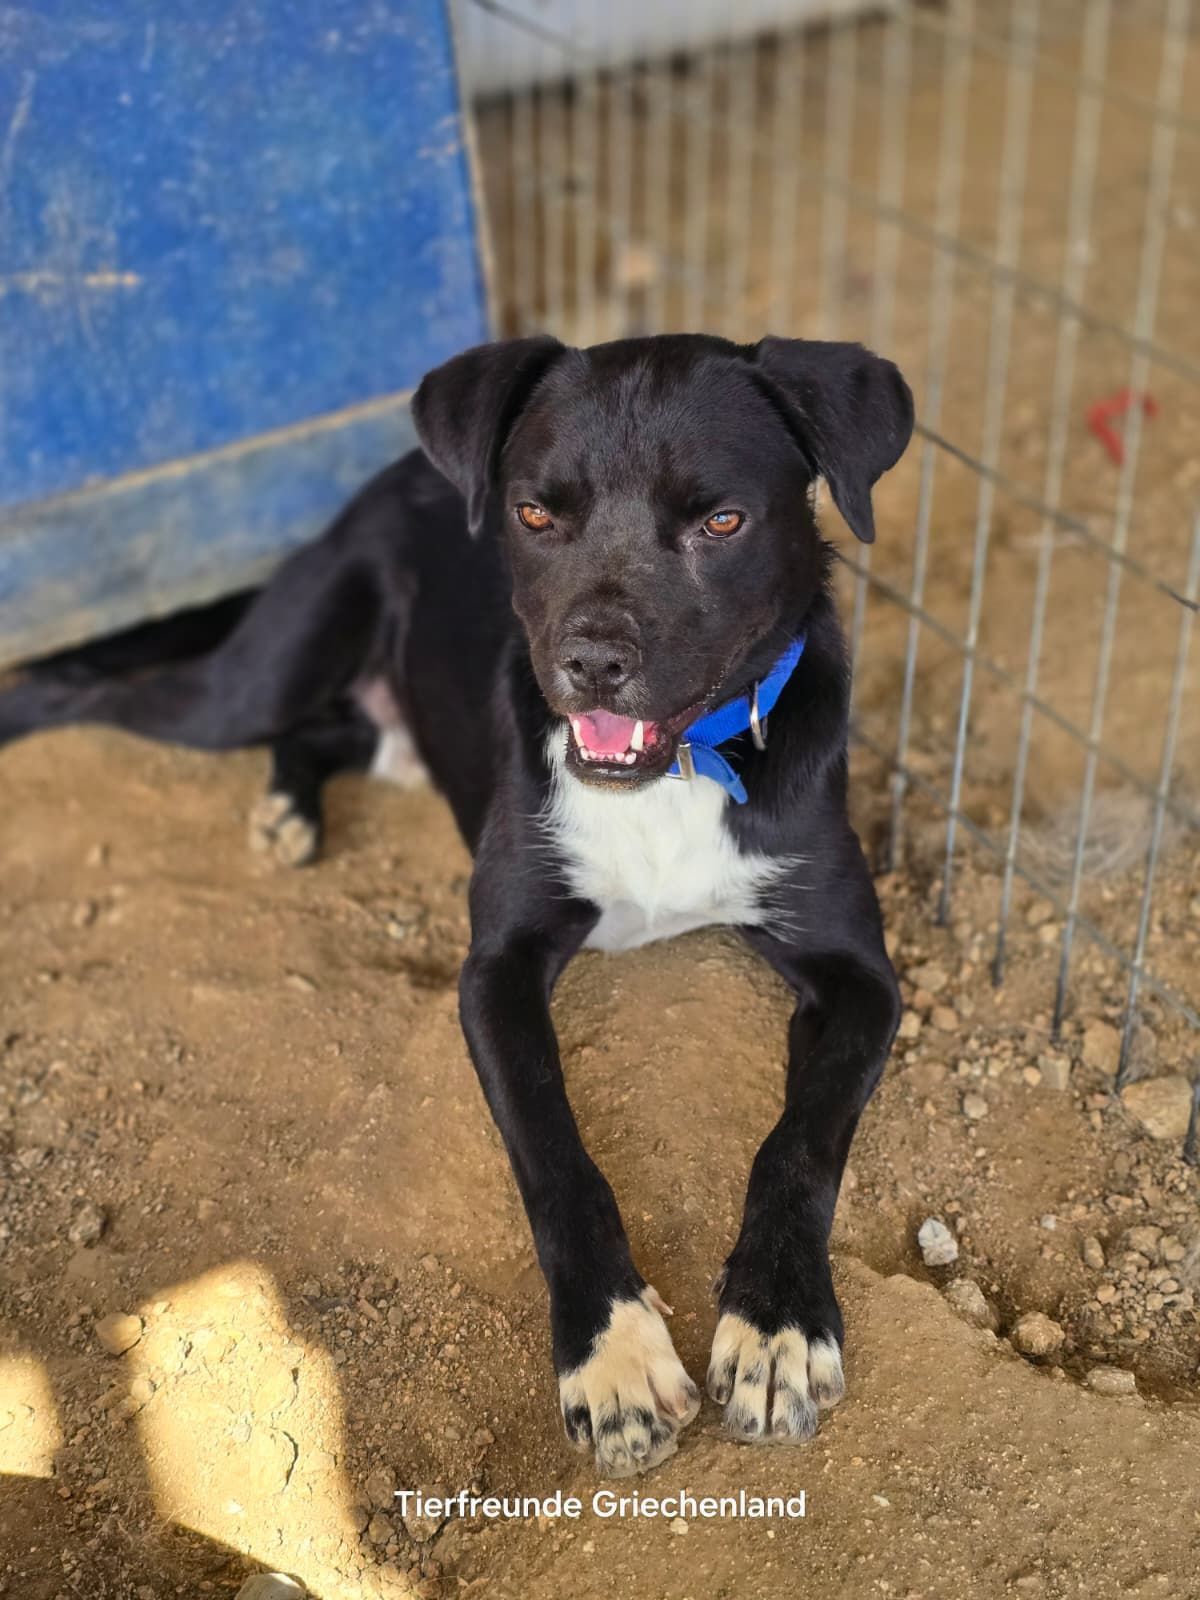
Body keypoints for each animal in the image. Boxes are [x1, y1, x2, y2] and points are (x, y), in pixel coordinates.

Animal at [1, 333, 914, 1476]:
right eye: (534, 514)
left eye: (721, 521)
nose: (591, 664)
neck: (671, 776)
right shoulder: (497, 967)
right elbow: (556, 1155)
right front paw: (611, 1356)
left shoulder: (861, 974)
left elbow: (799, 1139)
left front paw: (778, 1326)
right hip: (255, 675)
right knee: (104, 694)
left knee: (320, 731)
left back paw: (291, 806)